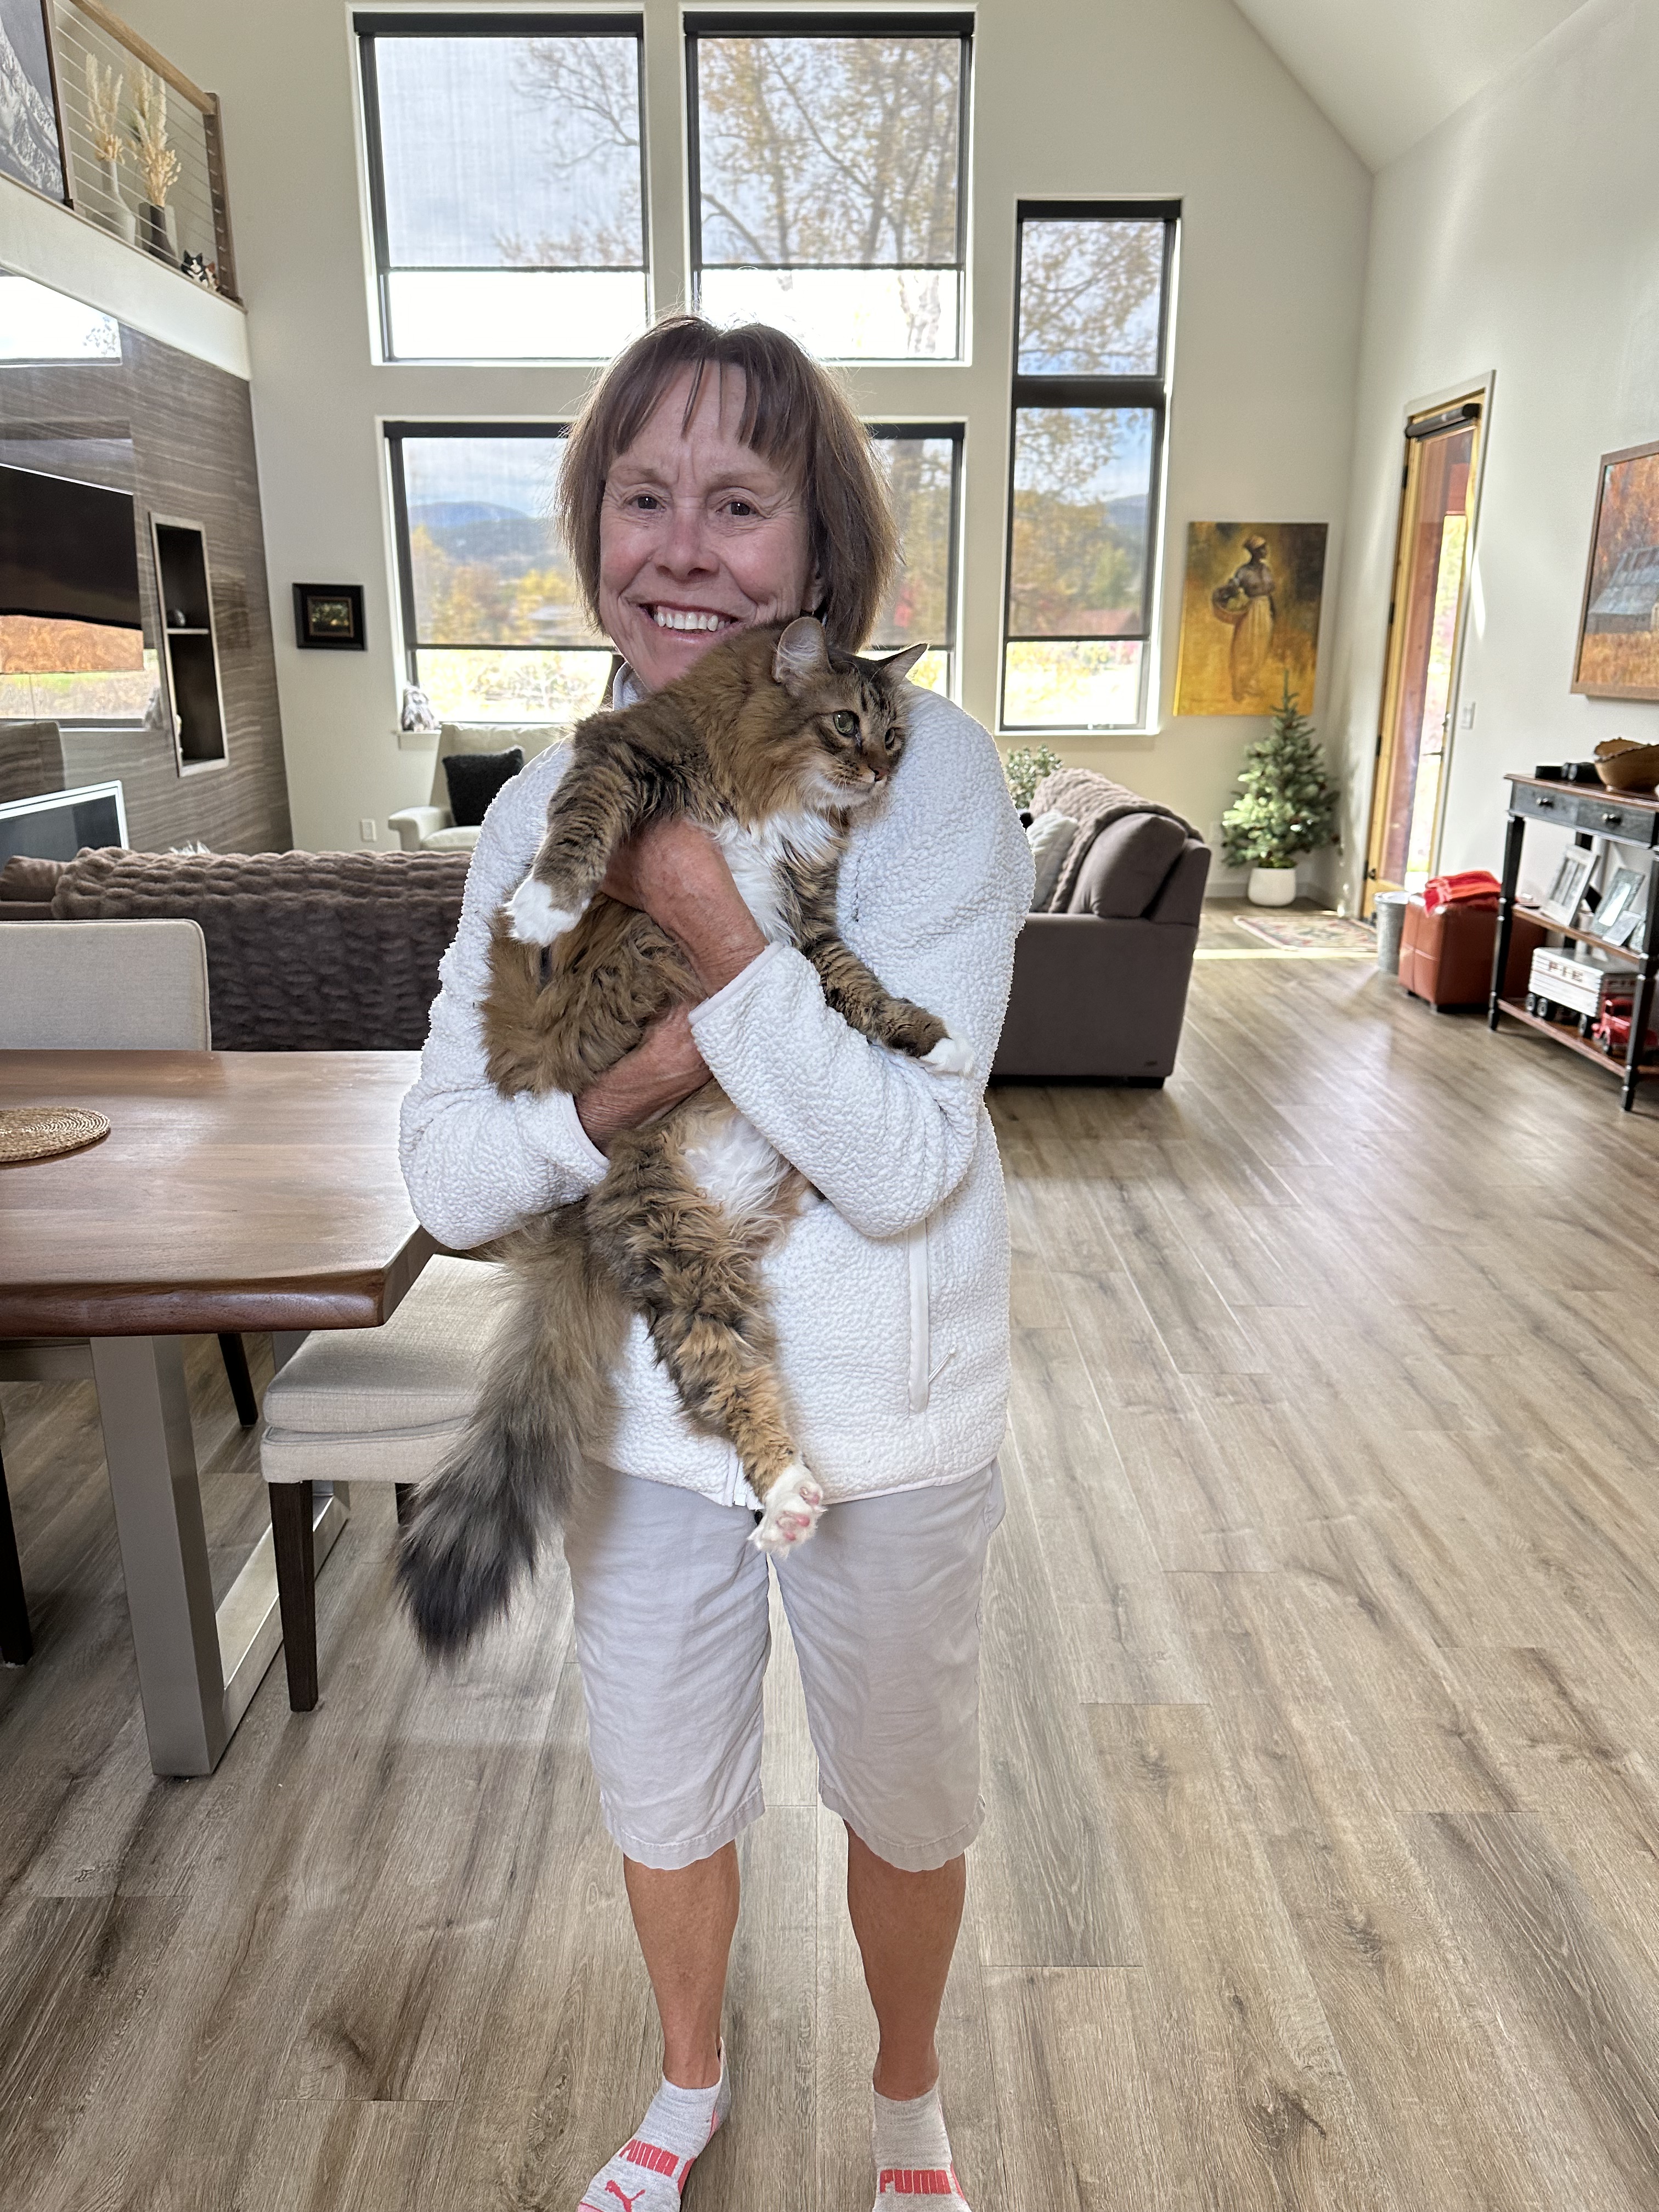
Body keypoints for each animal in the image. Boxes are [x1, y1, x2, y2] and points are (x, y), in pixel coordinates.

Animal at [396, 616, 971, 1660]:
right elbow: (581, 823)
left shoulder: (801, 934)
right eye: (843, 725)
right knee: (725, 1382)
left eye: (894, 737)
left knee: (731, 1387)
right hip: (670, 1247)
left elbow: (859, 989)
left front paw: (934, 1040)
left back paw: (788, 1497)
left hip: (692, 1269)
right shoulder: (621, 753)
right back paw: (789, 1498)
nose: (875, 773)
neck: (771, 804)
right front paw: (545, 904)